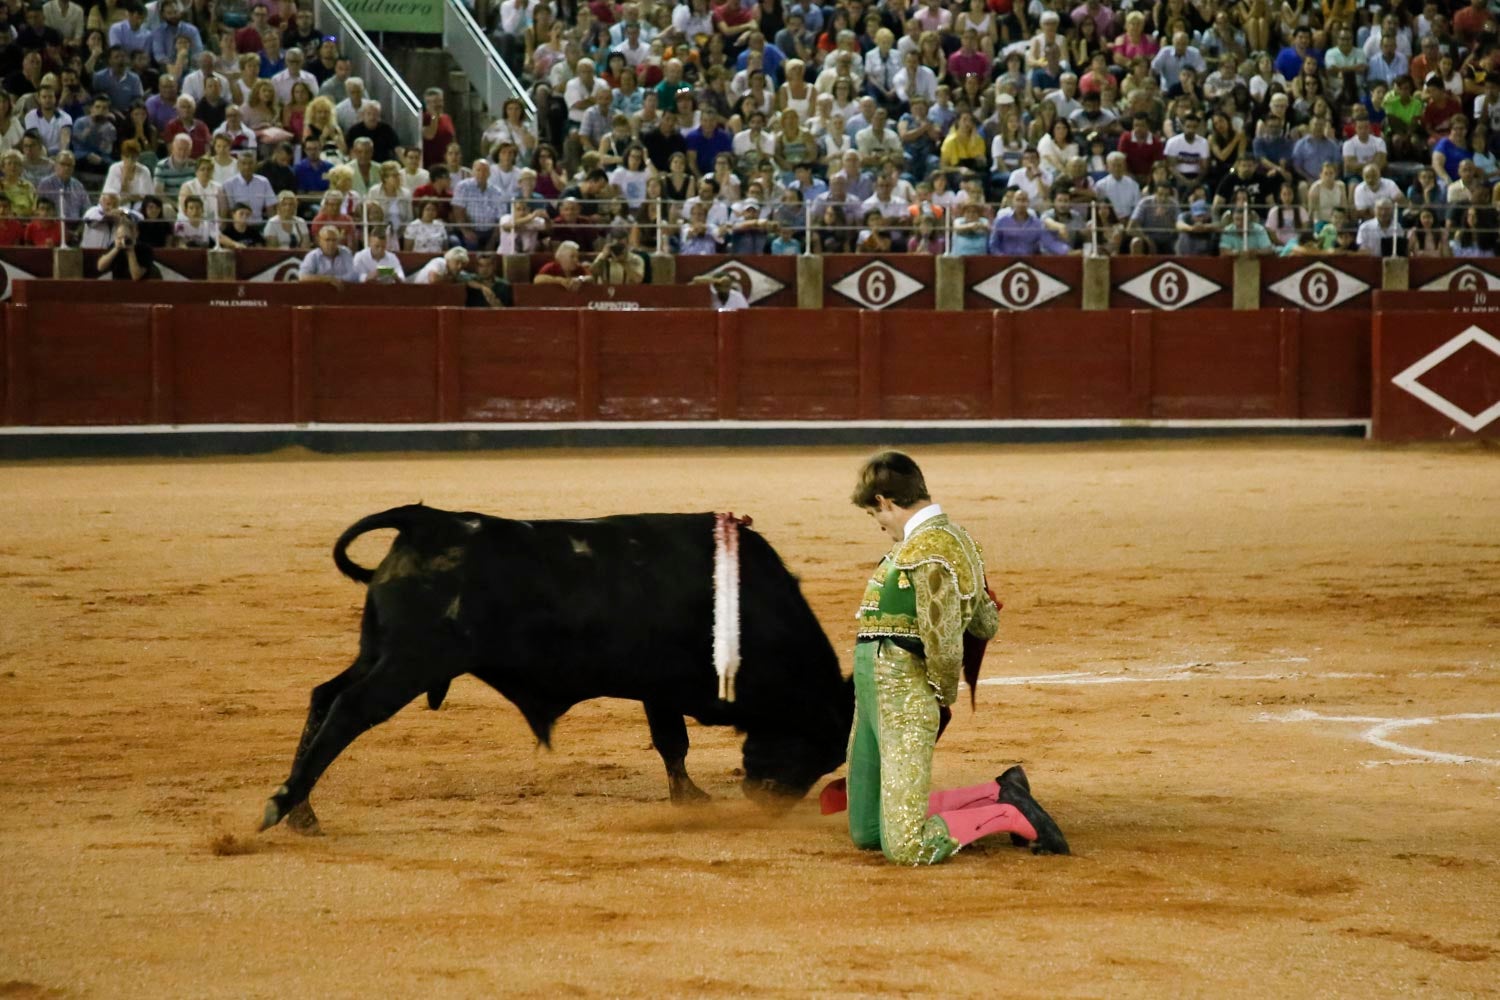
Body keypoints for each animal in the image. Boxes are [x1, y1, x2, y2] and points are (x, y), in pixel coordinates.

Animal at [258, 500, 858, 839]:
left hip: (377, 650)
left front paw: (689, 796)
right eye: (820, 742)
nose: (768, 803)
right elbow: (673, 741)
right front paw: (692, 801)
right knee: (350, 708)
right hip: (409, 661)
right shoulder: (662, 685)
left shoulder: (656, 689)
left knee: (323, 696)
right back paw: (281, 805)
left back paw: (303, 813)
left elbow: (671, 744)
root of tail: (426, 522)